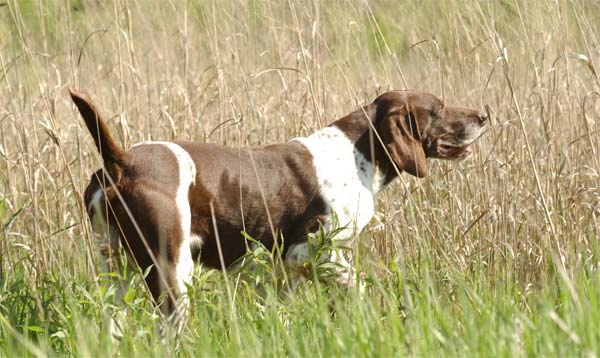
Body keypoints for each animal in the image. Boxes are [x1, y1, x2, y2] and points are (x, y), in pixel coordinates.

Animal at [69, 88, 488, 334]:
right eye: (437, 108)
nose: (484, 115)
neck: (357, 153)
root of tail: (121, 161)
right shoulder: (318, 254)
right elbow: (361, 290)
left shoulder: (285, 272)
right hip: (172, 267)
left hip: (115, 268)